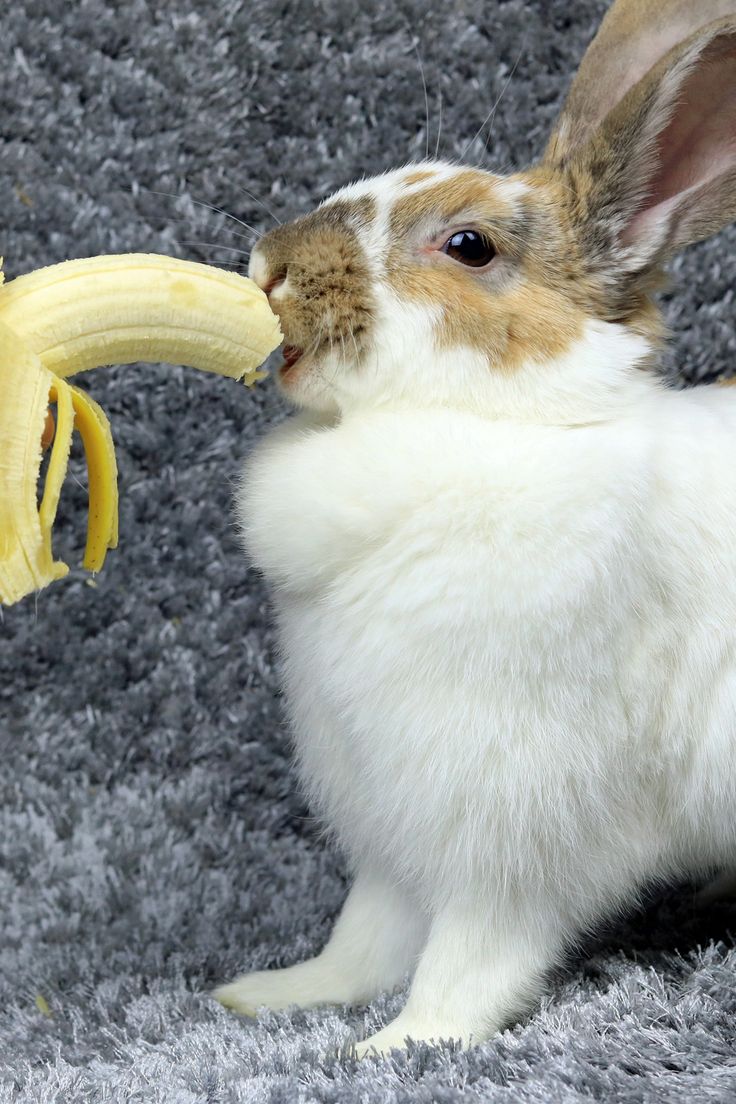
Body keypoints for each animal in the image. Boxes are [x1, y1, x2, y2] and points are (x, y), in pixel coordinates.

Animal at [212, 0, 736, 1051]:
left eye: (468, 247)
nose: (272, 266)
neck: (497, 424)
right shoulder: (388, 814)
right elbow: (367, 932)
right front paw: (279, 994)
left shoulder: (513, 828)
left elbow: (473, 955)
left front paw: (399, 1044)